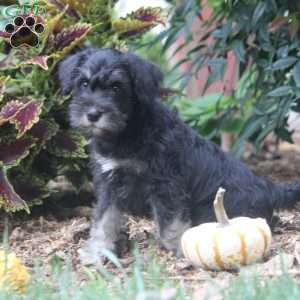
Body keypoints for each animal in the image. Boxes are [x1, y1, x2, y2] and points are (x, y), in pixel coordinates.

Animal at [59, 47, 300, 264]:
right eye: (83, 83)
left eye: (116, 87)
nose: (92, 114)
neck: (126, 133)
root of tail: (269, 188)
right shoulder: (108, 183)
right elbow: (104, 219)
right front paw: (98, 251)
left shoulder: (166, 183)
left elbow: (171, 220)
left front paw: (178, 246)